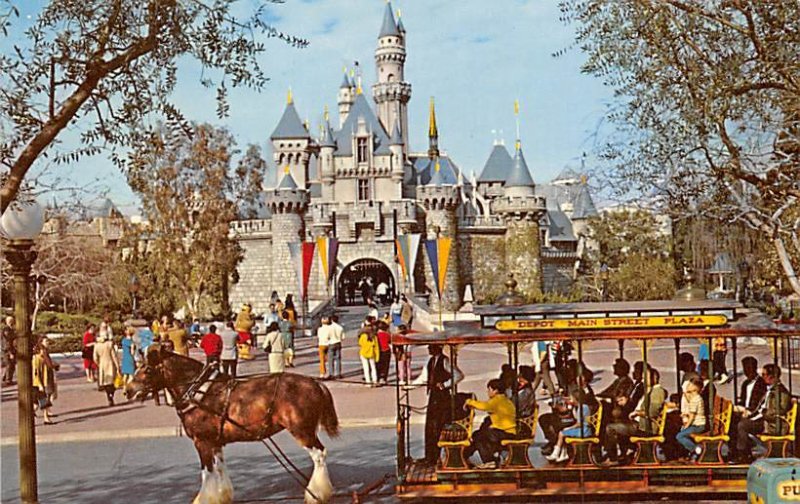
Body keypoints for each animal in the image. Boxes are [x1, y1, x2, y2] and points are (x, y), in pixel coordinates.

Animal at [124, 346, 338, 504]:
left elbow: (207, 473)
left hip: (302, 430)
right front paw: (223, 496)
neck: (199, 393)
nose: (128, 391)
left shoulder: (202, 442)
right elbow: (219, 468)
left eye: (148, 369)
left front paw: (205, 498)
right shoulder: (215, 442)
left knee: (319, 455)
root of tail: (315, 383)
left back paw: (316, 493)